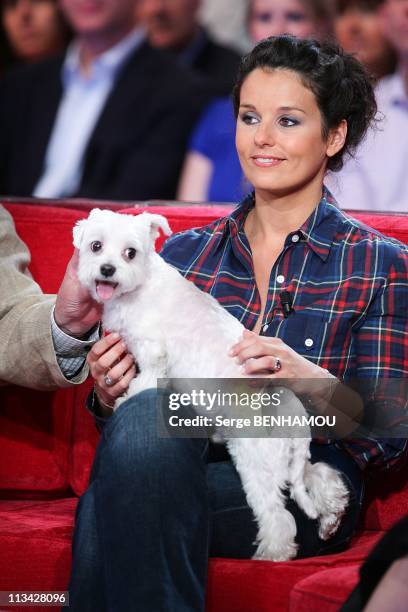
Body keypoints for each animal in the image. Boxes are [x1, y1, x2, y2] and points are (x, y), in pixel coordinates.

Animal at [73, 209, 348, 560]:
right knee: (321, 476)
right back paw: (331, 517)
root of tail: (291, 414)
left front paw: (129, 396)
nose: (107, 269)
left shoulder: (153, 350)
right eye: (96, 246)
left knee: (278, 517)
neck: (141, 282)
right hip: (288, 462)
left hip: (257, 463)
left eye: (130, 253)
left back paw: (272, 554)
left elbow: (147, 378)